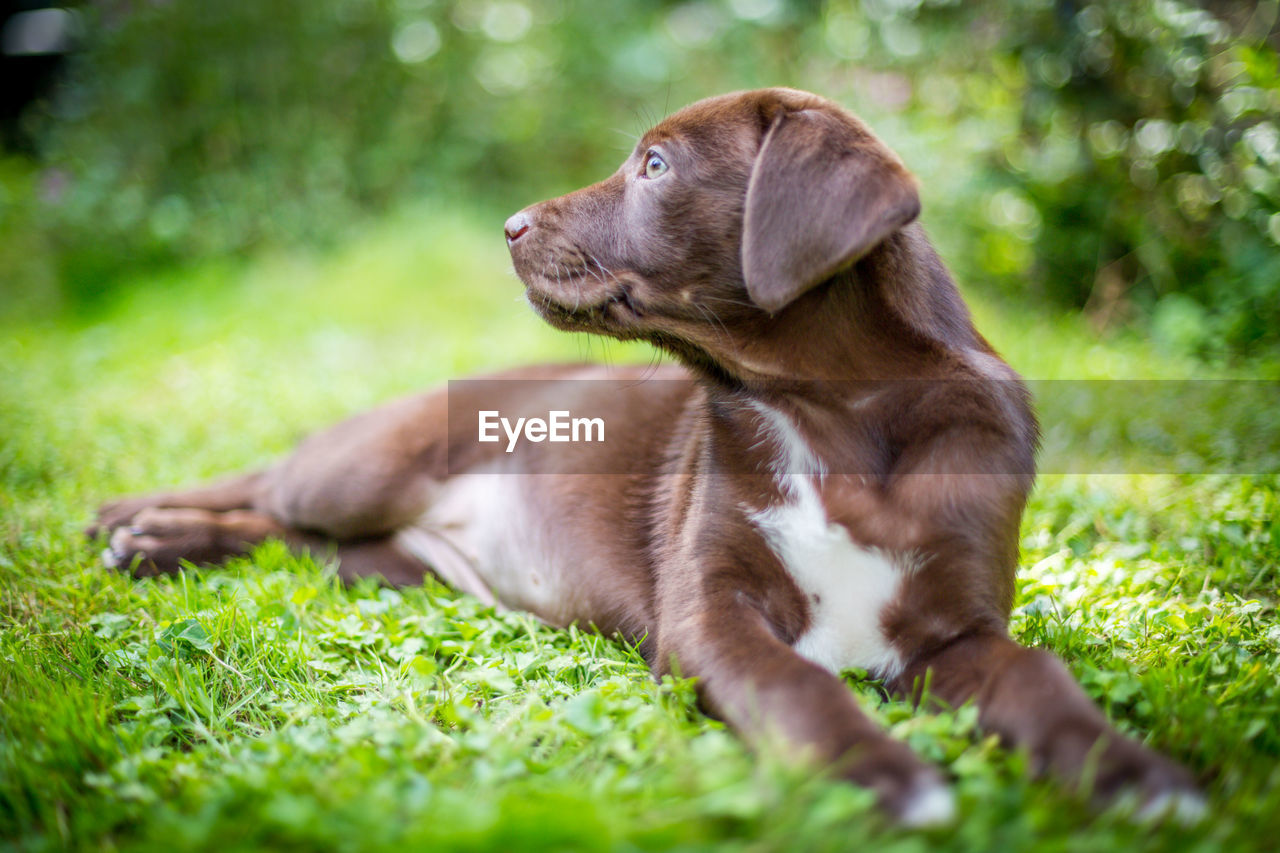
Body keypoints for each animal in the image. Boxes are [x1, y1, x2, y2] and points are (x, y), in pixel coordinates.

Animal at [90, 87, 1198, 824]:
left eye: (656, 166)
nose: (507, 227)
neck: (831, 420)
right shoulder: (709, 613)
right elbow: (797, 685)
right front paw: (877, 774)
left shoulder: (955, 628)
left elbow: (1038, 678)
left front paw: (1133, 774)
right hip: (364, 467)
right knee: (267, 485)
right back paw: (135, 521)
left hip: (383, 561)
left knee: (287, 535)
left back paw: (155, 540)